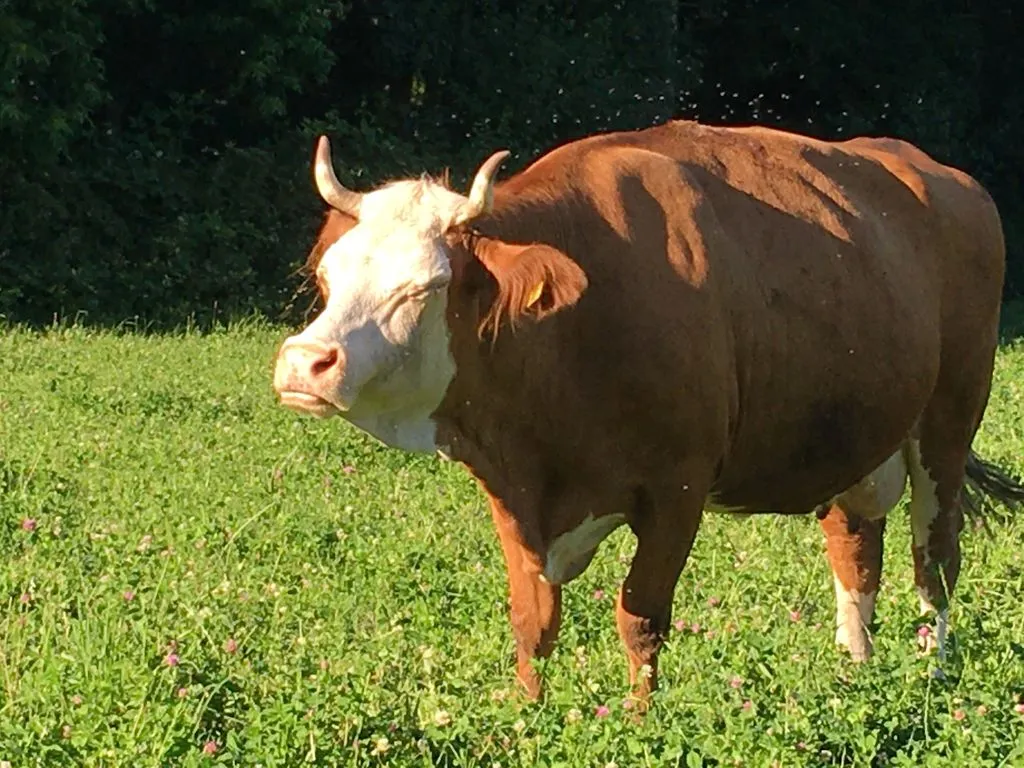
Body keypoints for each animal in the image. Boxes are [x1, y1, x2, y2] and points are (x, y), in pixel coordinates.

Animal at [272, 120, 1024, 704]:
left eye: (427, 285)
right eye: (330, 277)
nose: (305, 362)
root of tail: (947, 178)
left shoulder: (676, 490)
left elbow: (640, 617)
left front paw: (639, 721)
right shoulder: (510, 488)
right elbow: (532, 618)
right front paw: (527, 717)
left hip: (949, 423)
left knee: (936, 559)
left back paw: (930, 677)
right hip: (855, 436)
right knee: (856, 548)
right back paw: (854, 671)